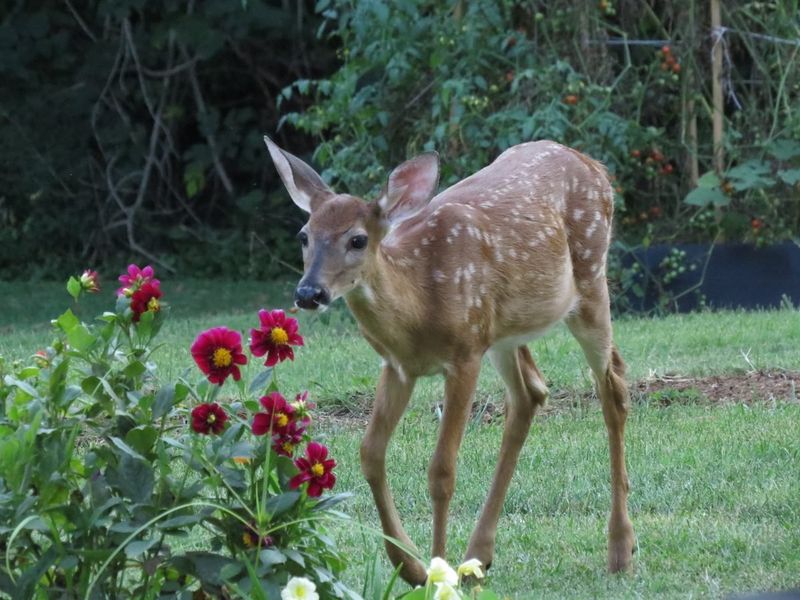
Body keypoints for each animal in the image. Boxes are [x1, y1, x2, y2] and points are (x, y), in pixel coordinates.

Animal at [266, 137, 636, 584]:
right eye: (304, 235)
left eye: (357, 240)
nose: (309, 293)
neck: (419, 305)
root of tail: (593, 165)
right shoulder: (399, 367)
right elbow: (370, 453)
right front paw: (410, 566)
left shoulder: (463, 355)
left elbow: (442, 471)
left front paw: (437, 570)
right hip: (503, 332)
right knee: (530, 394)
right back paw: (479, 556)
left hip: (590, 280)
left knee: (612, 386)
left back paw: (621, 549)